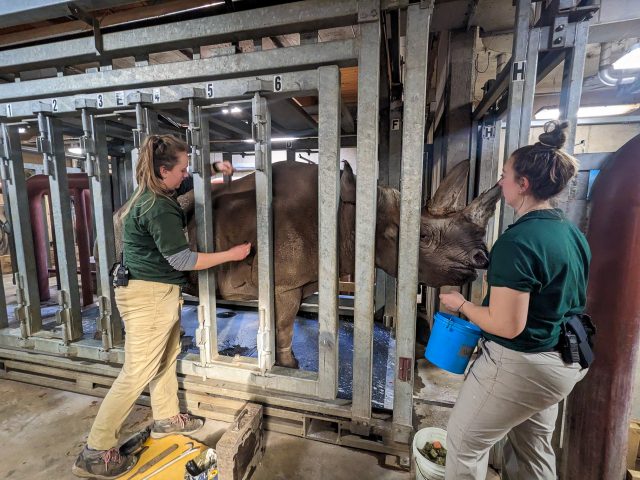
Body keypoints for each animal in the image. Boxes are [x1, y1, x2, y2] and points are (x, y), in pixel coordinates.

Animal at [115, 161, 502, 368]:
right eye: (420, 236)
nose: (482, 259)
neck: (351, 214)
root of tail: (126, 205)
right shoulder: (285, 283)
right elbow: (285, 322)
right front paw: (290, 365)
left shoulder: (297, 281)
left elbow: (284, 320)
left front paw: (280, 361)